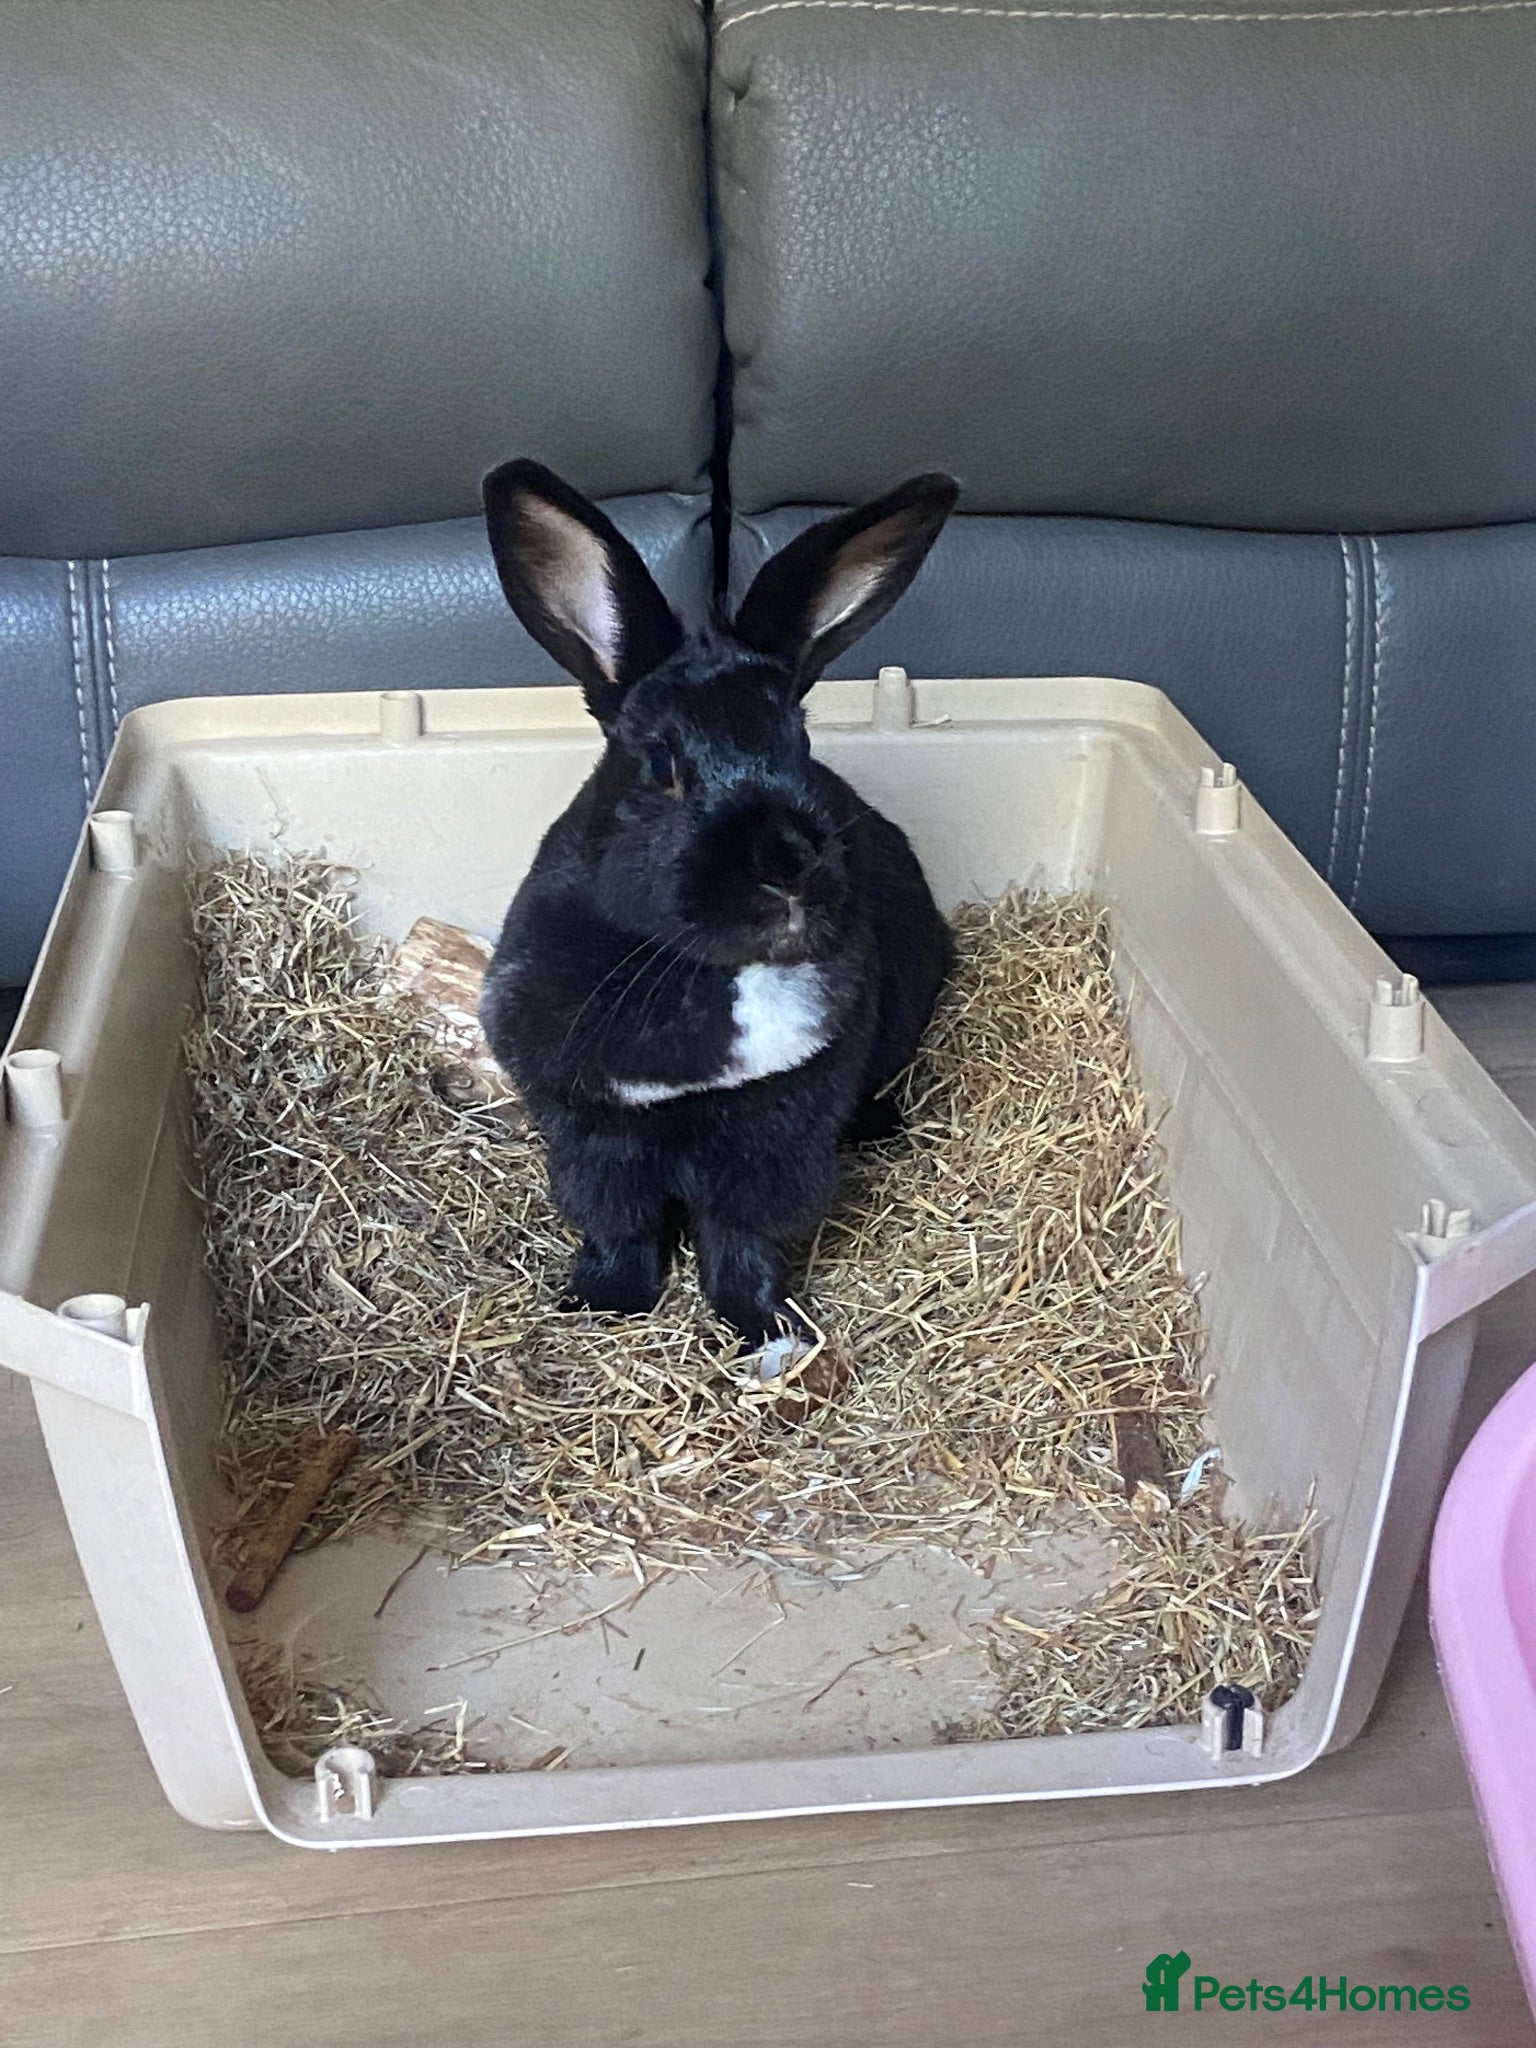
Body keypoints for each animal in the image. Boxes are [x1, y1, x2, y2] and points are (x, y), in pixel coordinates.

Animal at [477, 458, 958, 1352]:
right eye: (660, 763)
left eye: (800, 744)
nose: (789, 866)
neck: (713, 977)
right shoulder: (593, 1137)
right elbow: (620, 1226)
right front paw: (604, 1303)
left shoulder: (775, 1143)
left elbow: (742, 1238)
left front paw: (764, 1325)